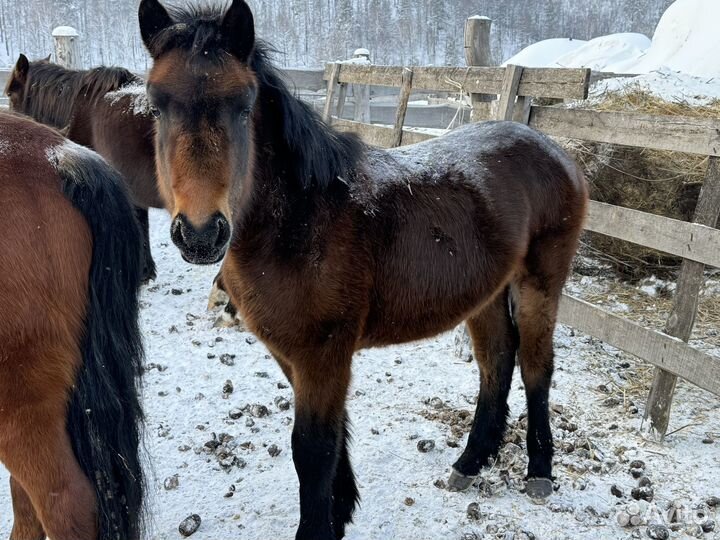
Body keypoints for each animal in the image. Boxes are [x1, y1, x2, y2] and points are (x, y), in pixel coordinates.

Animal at [138, 2, 588, 536]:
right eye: (156, 106)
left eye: (243, 106)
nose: (201, 234)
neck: (302, 221)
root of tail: (555, 151)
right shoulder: (294, 354)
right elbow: (333, 439)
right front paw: (342, 509)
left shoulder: (323, 353)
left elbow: (312, 450)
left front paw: (320, 526)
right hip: (486, 293)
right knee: (496, 361)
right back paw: (470, 462)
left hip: (540, 284)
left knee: (536, 365)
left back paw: (539, 471)